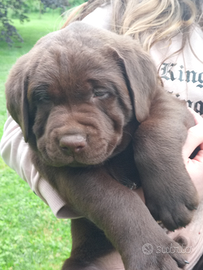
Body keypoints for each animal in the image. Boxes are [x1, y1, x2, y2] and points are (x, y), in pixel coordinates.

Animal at [5, 21, 198, 270]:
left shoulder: (164, 101)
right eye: (43, 98)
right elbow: (114, 199)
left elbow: (153, 130)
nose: (71, 144)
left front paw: (171, 198)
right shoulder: (59, 166)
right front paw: (152, 254)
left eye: (100, 93)